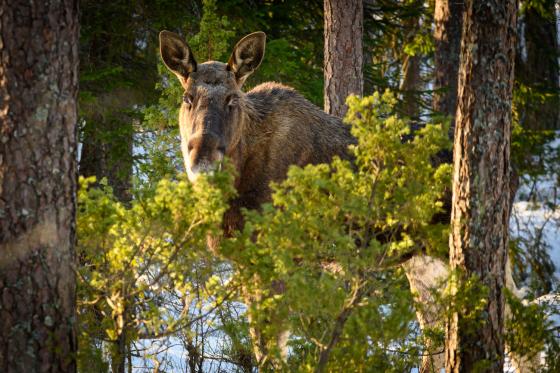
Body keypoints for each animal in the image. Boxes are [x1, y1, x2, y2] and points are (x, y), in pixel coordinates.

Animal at [160, 30, 536, 370]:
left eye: (231, 100)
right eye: (187, 98)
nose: (202, 155)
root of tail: (509, 172)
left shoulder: (280, 257)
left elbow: (271, 353)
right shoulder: (248, 261)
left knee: (518, 325)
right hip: (421, 260)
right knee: (438, 342)